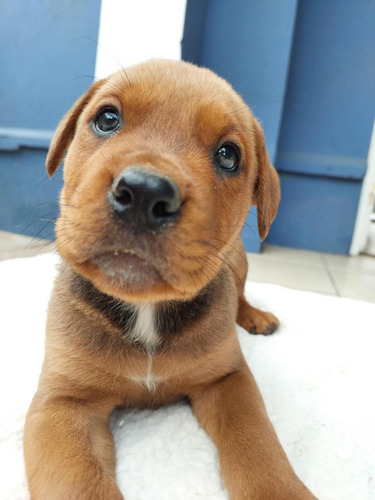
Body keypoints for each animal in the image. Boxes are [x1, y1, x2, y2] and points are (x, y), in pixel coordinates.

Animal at [25, 60, 316, 498]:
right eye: (107, 119)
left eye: (228, 156)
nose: (145, 193)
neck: (145, 310)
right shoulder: (62, 402)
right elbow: (79, 484)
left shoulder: (228, 380)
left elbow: (258, 444)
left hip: (240, 262)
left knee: (241, 295)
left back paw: (254, 316)